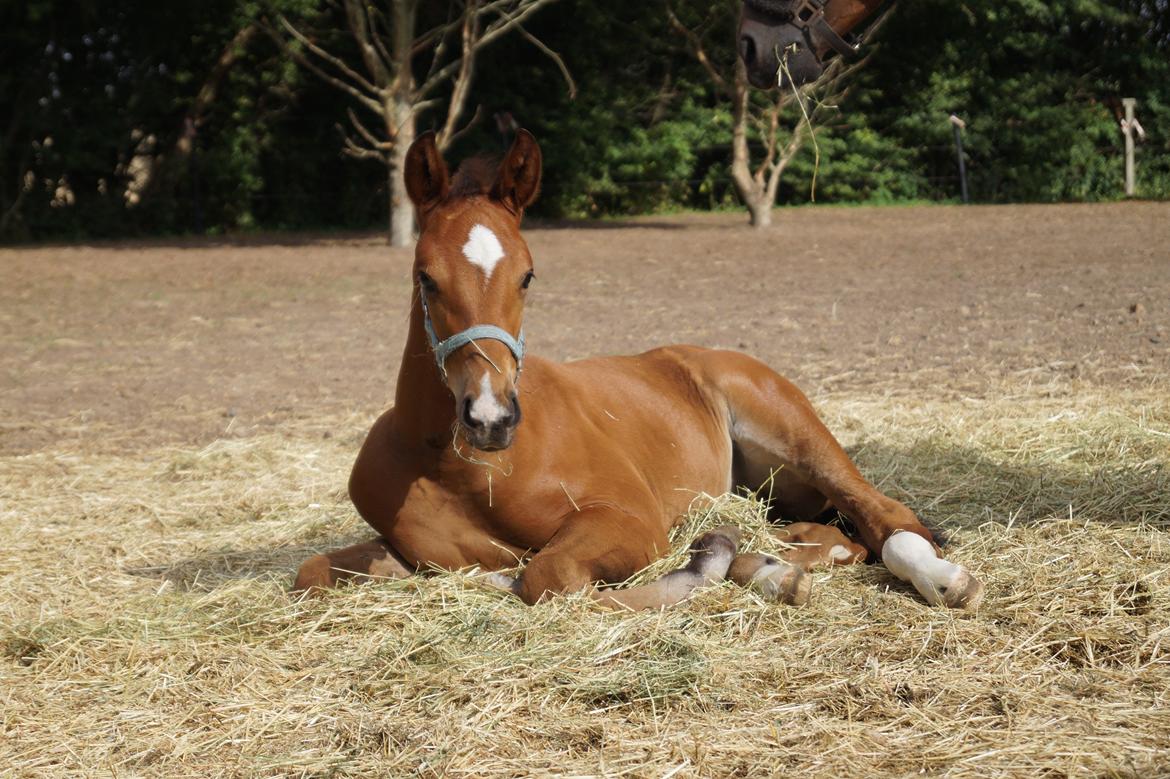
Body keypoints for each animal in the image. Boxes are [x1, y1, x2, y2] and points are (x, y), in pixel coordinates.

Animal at [290, 130, 978, 608]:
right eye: (424, 276)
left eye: (528, 274)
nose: (490, 418)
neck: (461, 469)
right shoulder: (408, 552)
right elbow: (310, 572)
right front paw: (738, 562)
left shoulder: (628, 519)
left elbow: (546, 577)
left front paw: (705, 567)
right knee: (827, 534)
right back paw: (773, 566)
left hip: (801, 439)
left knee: (885, 517)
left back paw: (943, 581)